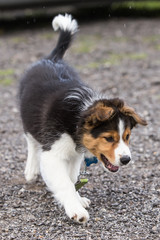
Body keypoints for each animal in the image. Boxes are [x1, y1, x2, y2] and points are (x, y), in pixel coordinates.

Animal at [19, 13, 148, 223]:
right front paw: (75, 209)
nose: (126, 160)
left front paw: (78, 199)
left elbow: (72, 178)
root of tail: (52, 58)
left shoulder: (74, 155)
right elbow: (64, 182)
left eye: (127, 137)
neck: (76, 122)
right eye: (109, 138)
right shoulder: (52, 153)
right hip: (28, 119)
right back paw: (31, 170)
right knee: (31, 142)